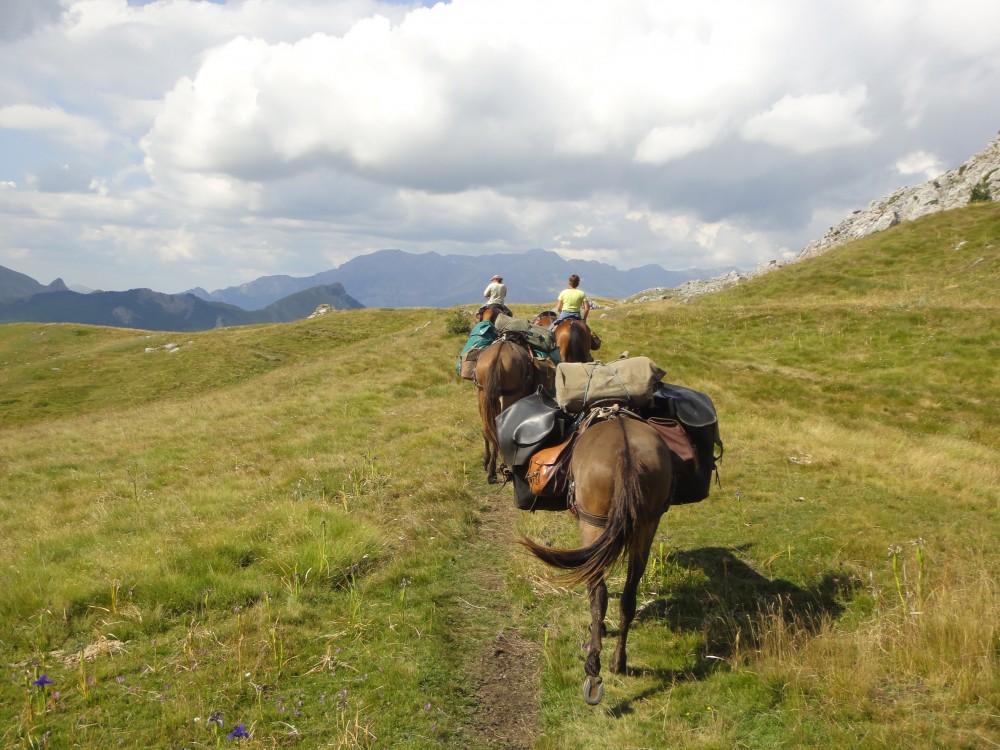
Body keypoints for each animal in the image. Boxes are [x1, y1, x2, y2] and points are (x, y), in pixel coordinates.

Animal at [524, 414, 672, 708]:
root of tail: (627, 456)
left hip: (593, 524)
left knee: (598, 592)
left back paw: (593, 666)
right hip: (647, 524)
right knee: (629, 594)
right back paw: (618, 662)